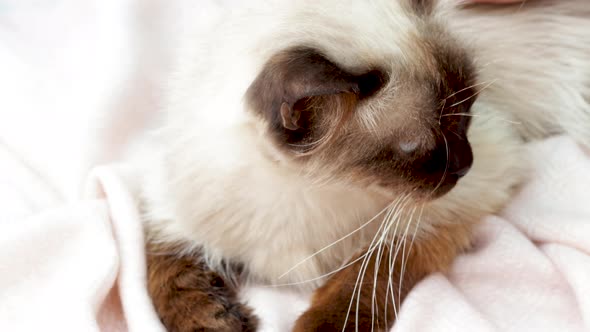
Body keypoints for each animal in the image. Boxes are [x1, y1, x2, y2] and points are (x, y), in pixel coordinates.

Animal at [135, 0, 590, 330]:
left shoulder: (462, 198)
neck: (312, 190)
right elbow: (165, 272)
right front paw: (214, 321)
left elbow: (368, 274)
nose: (466, 164)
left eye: (469, 113)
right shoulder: (164, 203)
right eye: (425, 148)